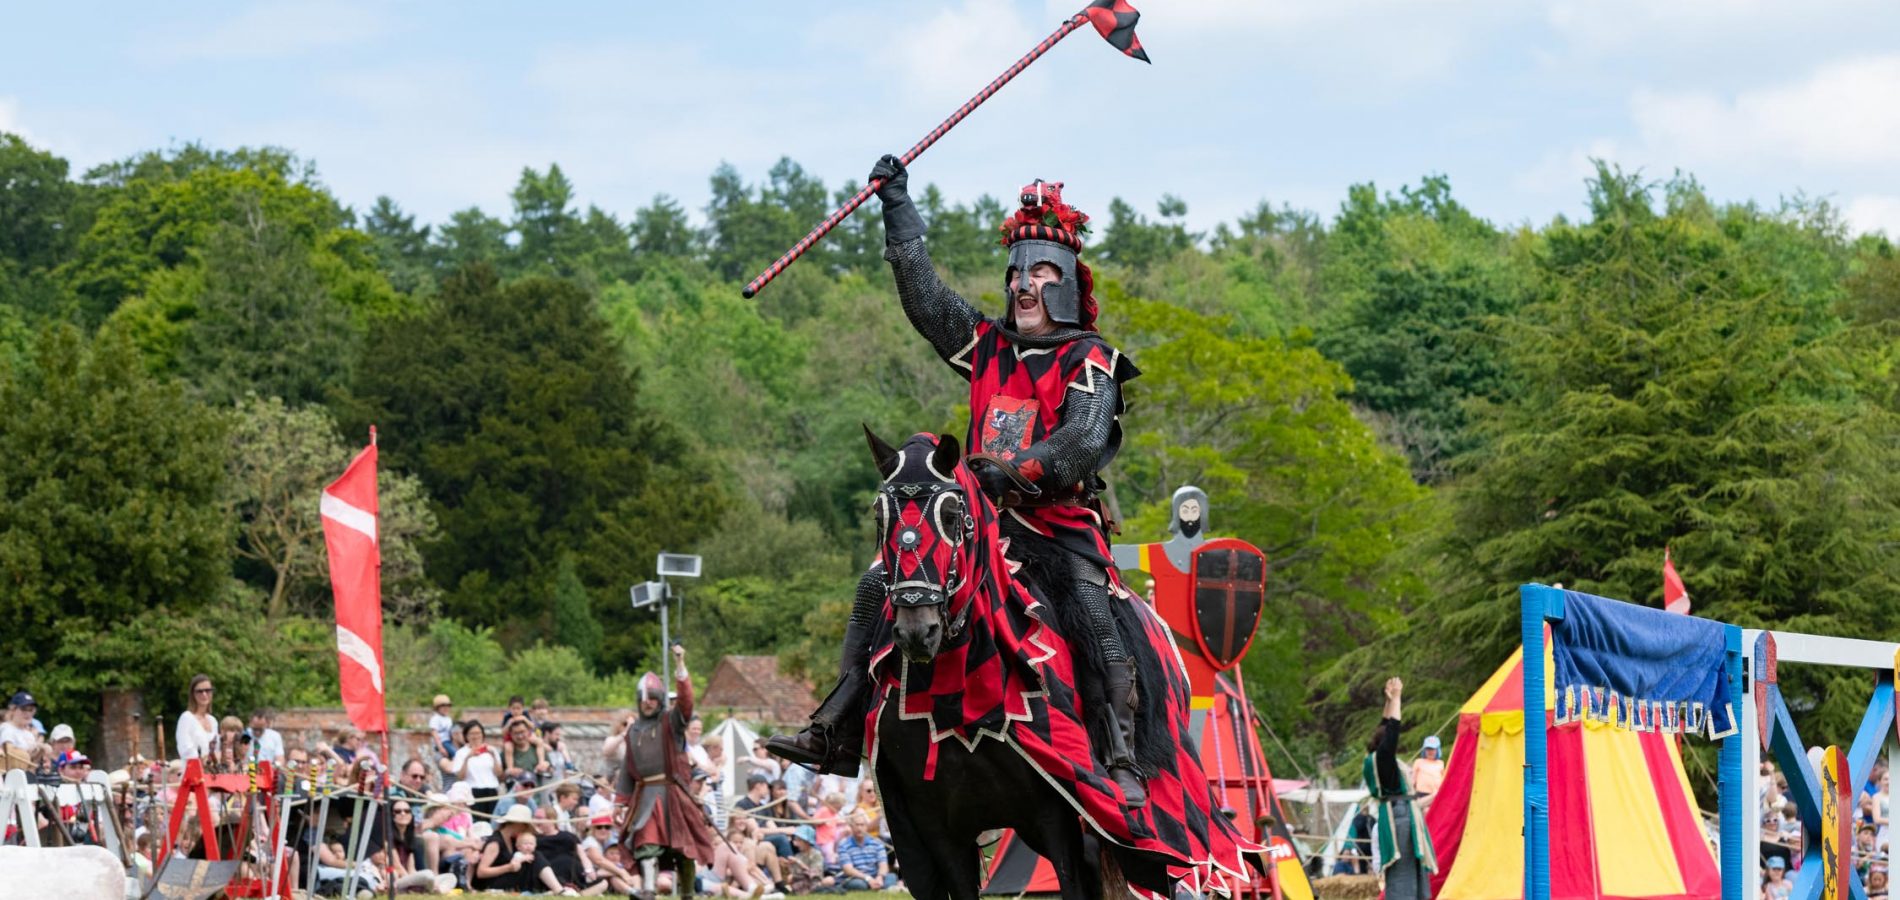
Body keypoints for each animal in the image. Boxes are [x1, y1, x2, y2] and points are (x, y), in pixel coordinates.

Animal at [862, 427, 1185, 900]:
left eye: (953, 515)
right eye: (880, 518)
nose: (917, 631)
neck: (961, 701)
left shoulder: (1057, 817)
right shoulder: (939, 831)